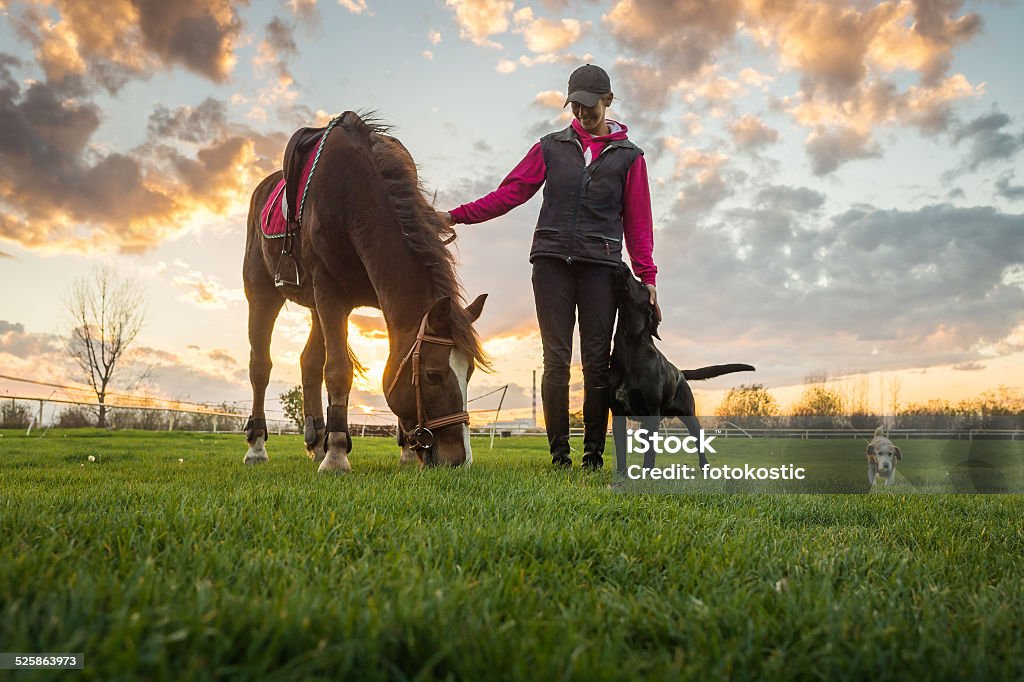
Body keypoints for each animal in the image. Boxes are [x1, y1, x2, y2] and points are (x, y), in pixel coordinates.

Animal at [243, 112, 491, 473]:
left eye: (469, 372)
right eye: (432, 375)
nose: (459, 460)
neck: (351, 194)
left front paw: (404, 452)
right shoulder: (329, 293)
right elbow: (338, 371)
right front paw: (336, 454)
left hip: (314, 306)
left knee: (308, 363)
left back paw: (315, 442)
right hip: (262, 294)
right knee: (260, 366)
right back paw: (258, 446)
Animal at [606, 264, 753, 473]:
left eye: (642, 284)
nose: (623, 264)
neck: (628, 348)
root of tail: (681, 373)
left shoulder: (651, 414)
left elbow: (650, 455)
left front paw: (646, 475)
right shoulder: (618, 413)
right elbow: (621, 453)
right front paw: (621, 476)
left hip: (690, 416)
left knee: (699, 442)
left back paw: (705, 468)